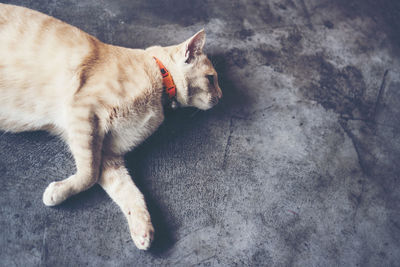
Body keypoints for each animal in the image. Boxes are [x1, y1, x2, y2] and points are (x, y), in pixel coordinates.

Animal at [0, 3, 222, 251]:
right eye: (211, 79)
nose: (222, 96)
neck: (158, 78)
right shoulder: (83, 113)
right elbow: (88, 175)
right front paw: (57, 192)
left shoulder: (109, 152)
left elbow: (129, 192)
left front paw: (142, 228)